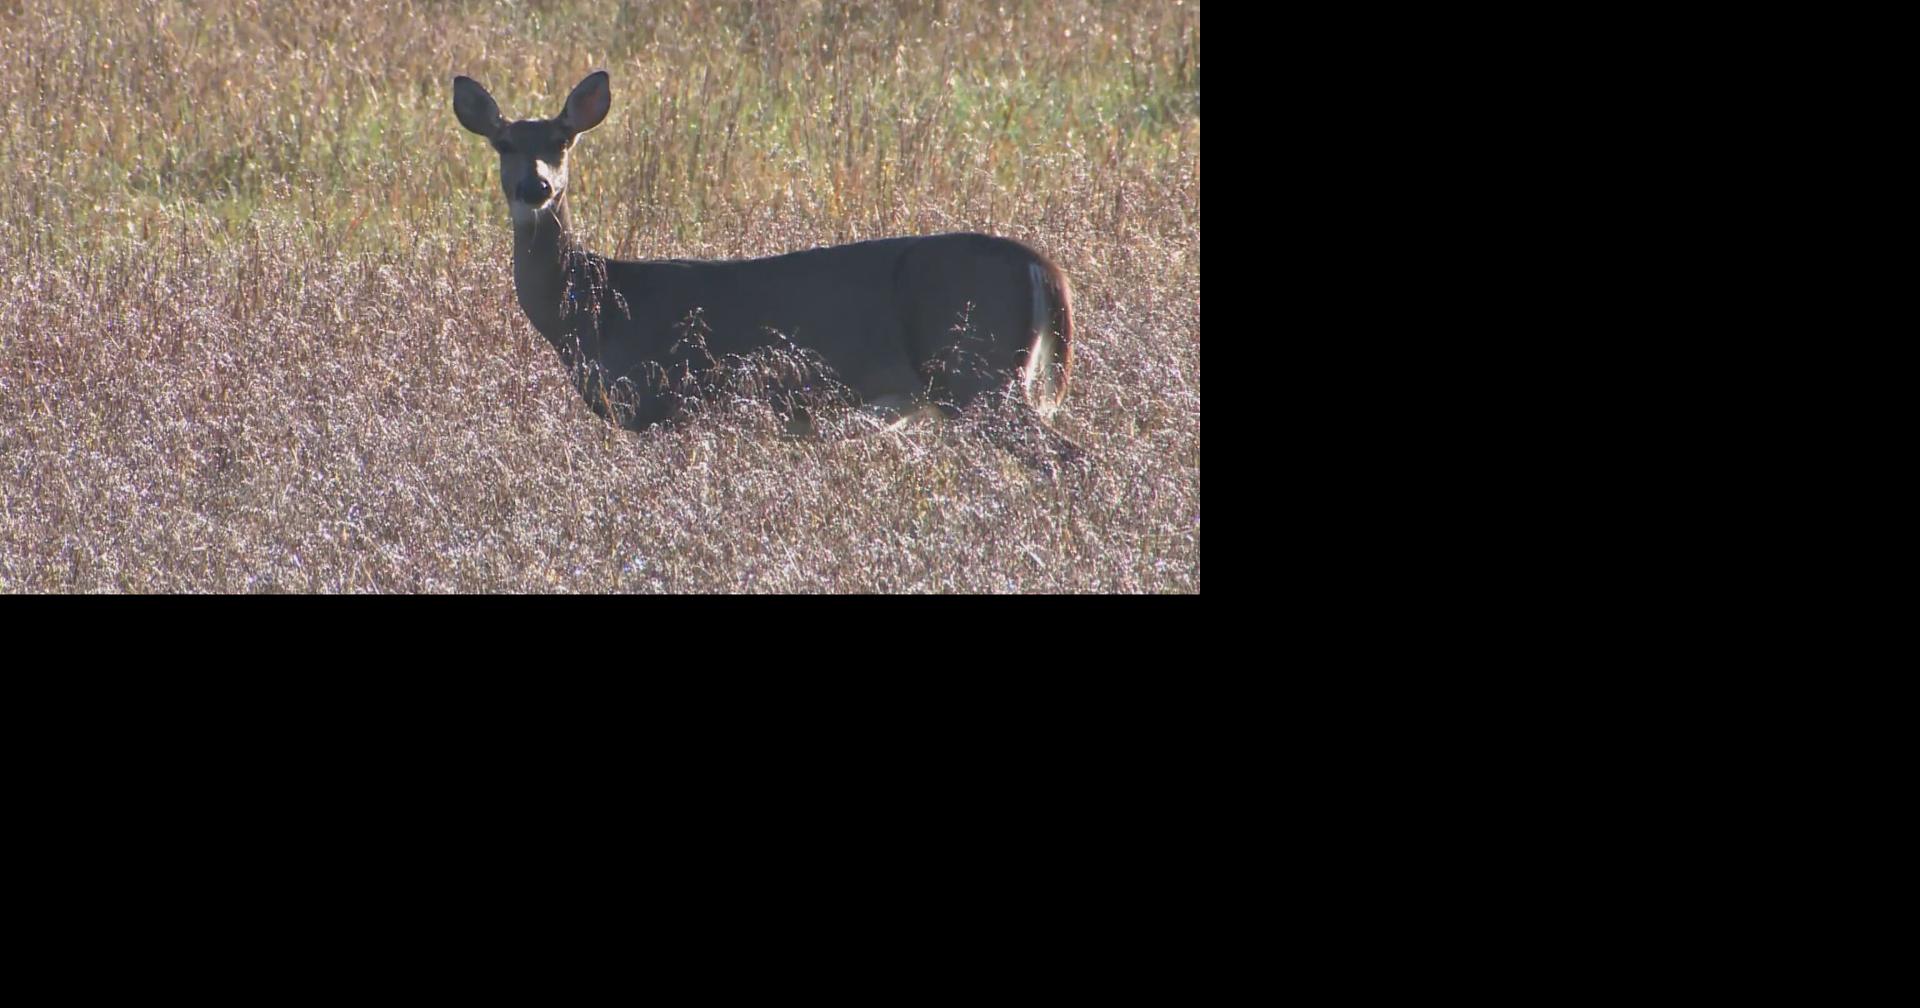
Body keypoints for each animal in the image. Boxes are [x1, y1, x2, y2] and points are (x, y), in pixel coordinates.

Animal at [452, 70, 1075, 434]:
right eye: (503, 144)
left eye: (562, 141)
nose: (536, 187)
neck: (593, 307)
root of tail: (1041, 265)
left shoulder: (663, 401)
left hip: (976, 371)